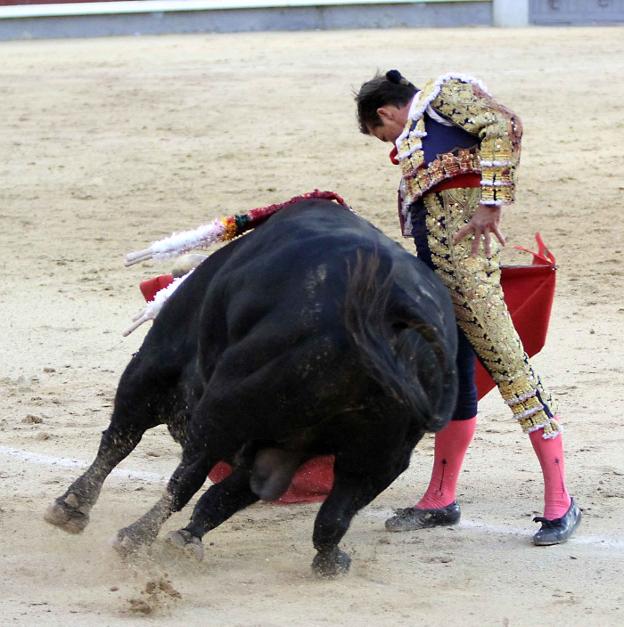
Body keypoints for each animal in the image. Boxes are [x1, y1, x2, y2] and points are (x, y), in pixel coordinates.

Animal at [45, 201, 458, 580]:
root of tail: (386, 315)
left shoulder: (155, 365)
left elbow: (120, 441)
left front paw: (71, 507)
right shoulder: (280, 445)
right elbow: (229, 495)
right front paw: (188, 537)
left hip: (222, 409)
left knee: (185, 475)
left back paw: (134, 538)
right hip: (380, 456)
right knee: (333, 515)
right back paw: (328, 562)